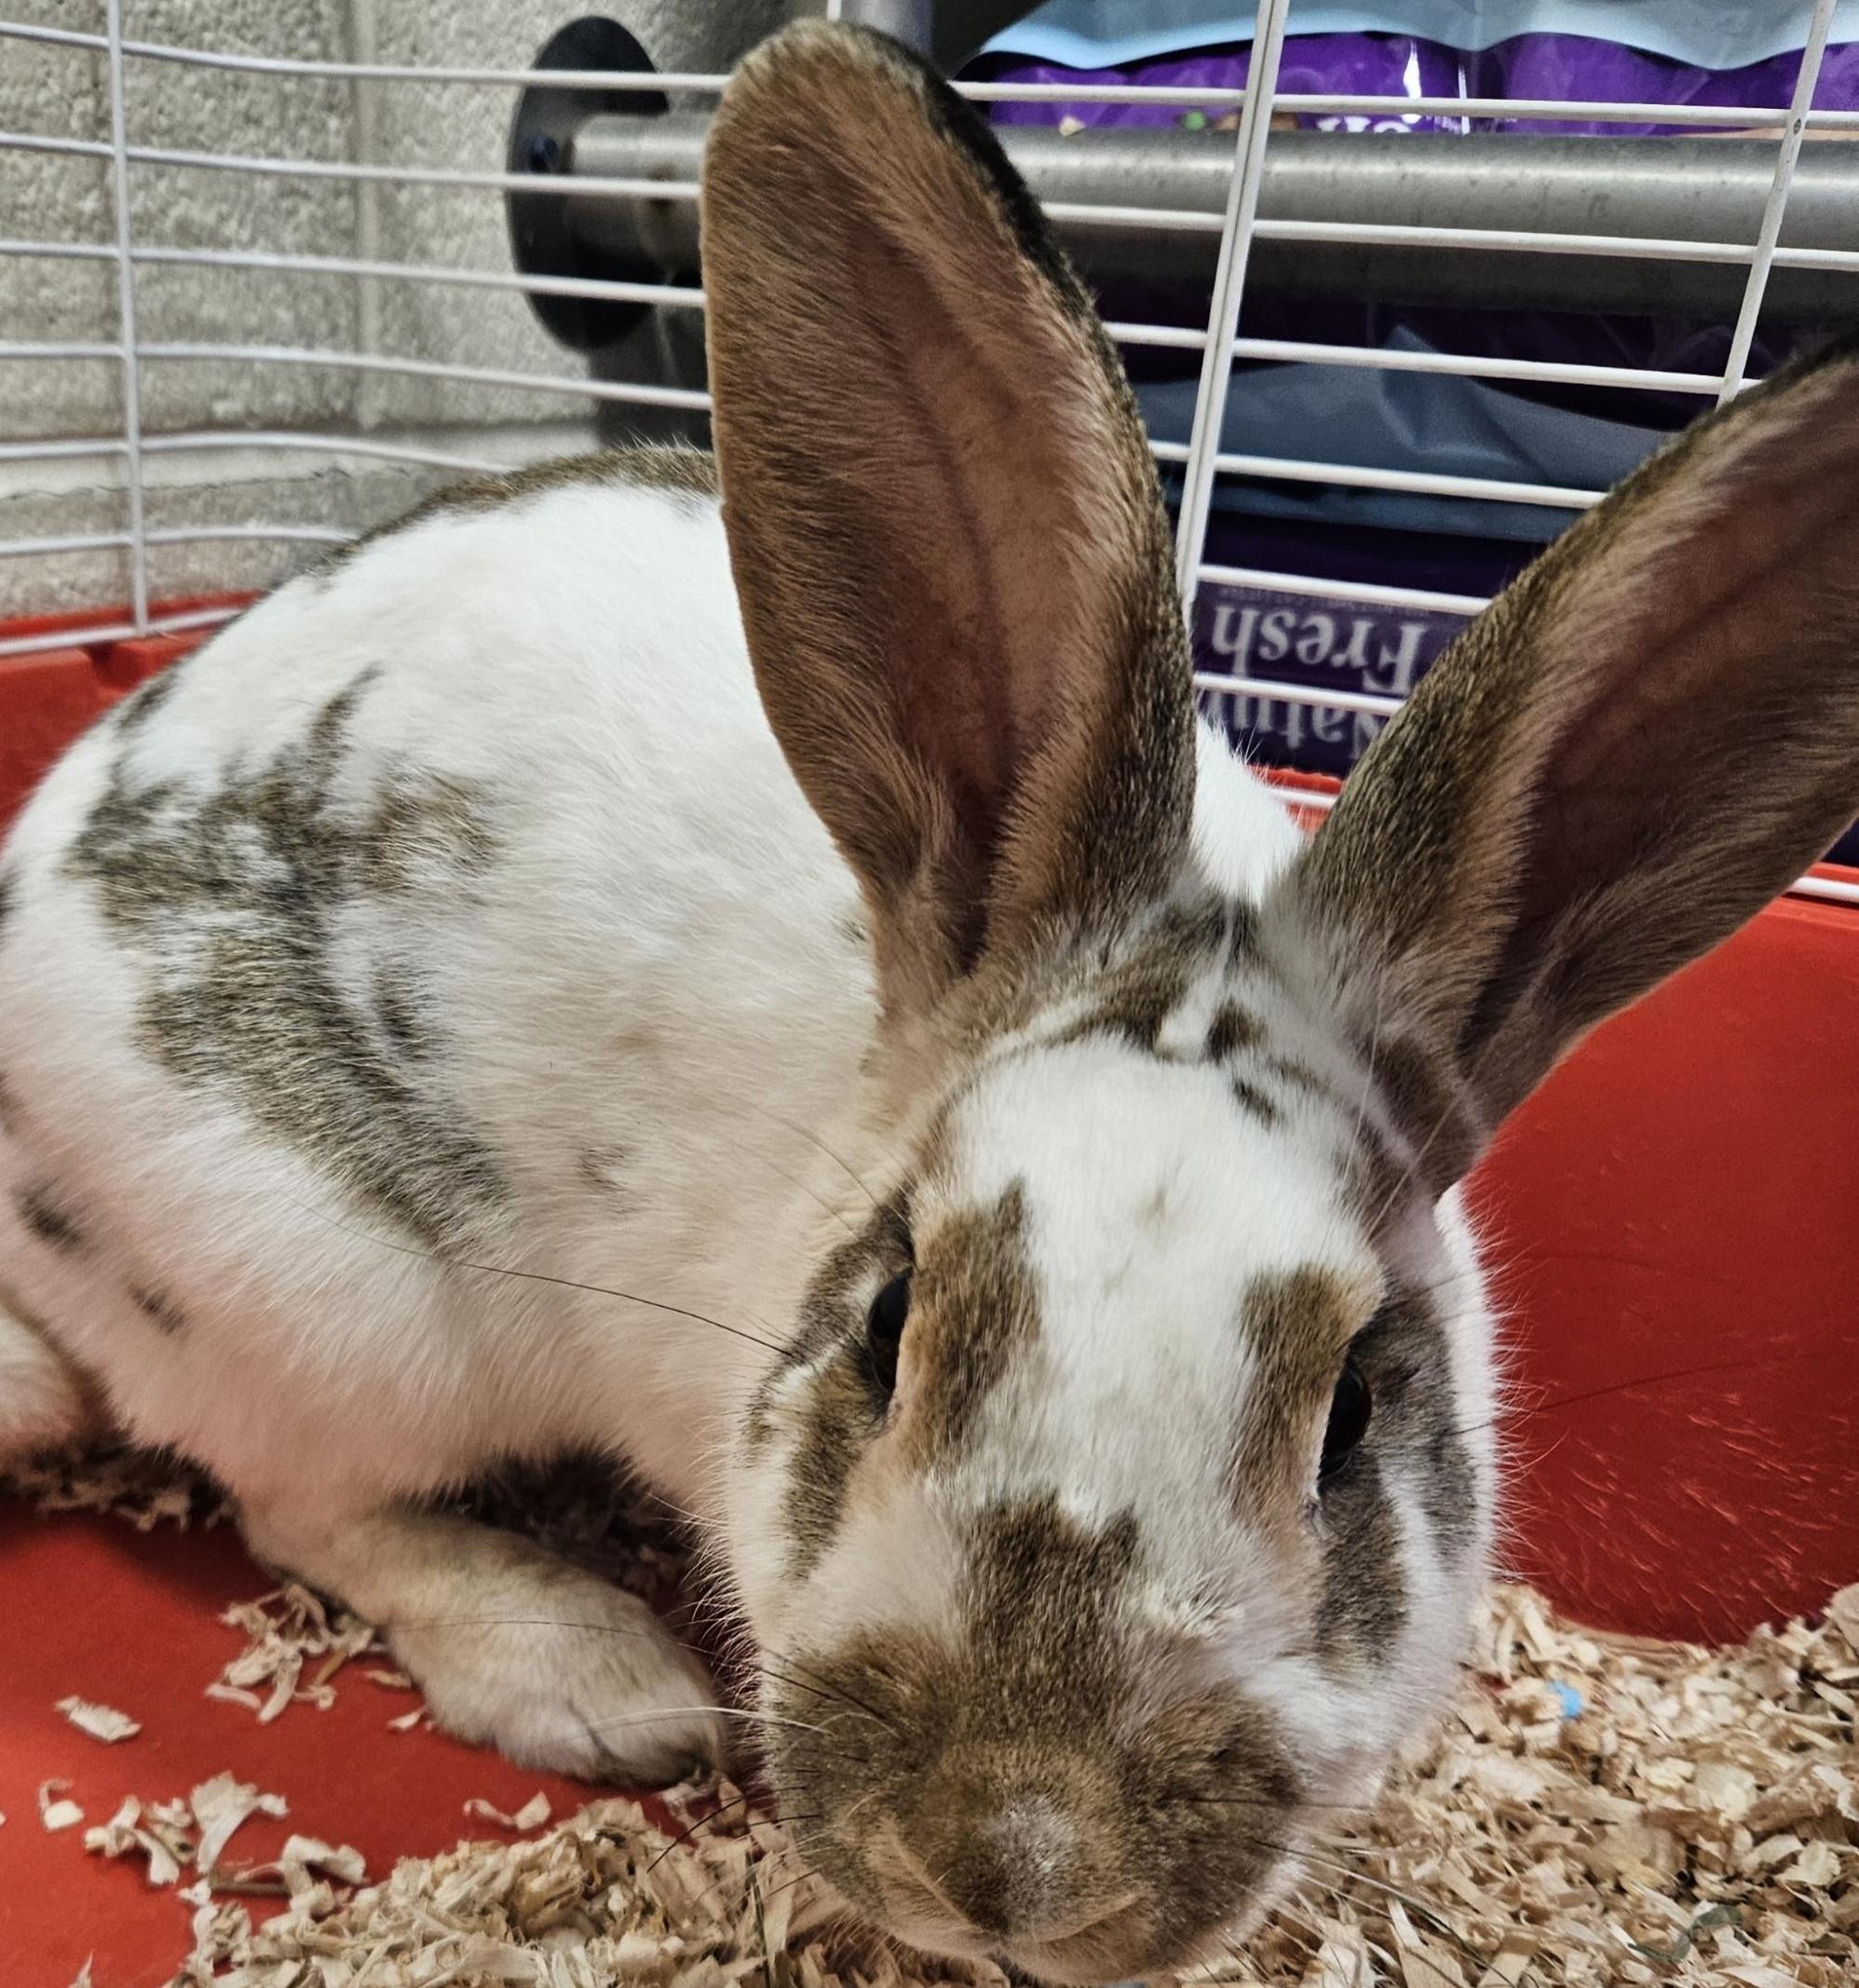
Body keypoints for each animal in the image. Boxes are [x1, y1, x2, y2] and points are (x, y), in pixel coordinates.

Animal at [4, 18, 1859, 1981]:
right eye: (886, 1320)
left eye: (1357, 1410)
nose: (1019, 1857)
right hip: (331, 1306)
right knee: (296, 1493)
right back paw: (594, 1669)